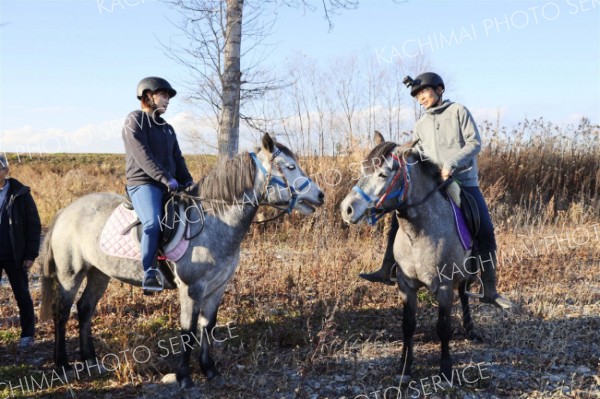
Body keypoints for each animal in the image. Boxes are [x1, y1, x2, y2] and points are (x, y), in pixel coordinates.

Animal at [39, 134, 324, 390]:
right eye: (290, 167)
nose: (320, 195)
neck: (214, 221)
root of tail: (65, 211)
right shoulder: (191, 289)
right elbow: (187, 332)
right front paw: (184, 377)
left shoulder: (217, 288)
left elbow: (207, 327)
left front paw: (209, 370)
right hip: (70, 275)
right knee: (62, 312)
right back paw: (62, 364)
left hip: (99, 273)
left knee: (85, 309)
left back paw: (91, 360)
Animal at [342, 134, 478, 384]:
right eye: (363, 169)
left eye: (383, 174)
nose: (346, 209)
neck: (420, 233)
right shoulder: (406, 286)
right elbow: (408, 325)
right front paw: (405, 367)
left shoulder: (444, 286)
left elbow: (443, 327)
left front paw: (445, 370)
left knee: (465, 293)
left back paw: (471, 329)